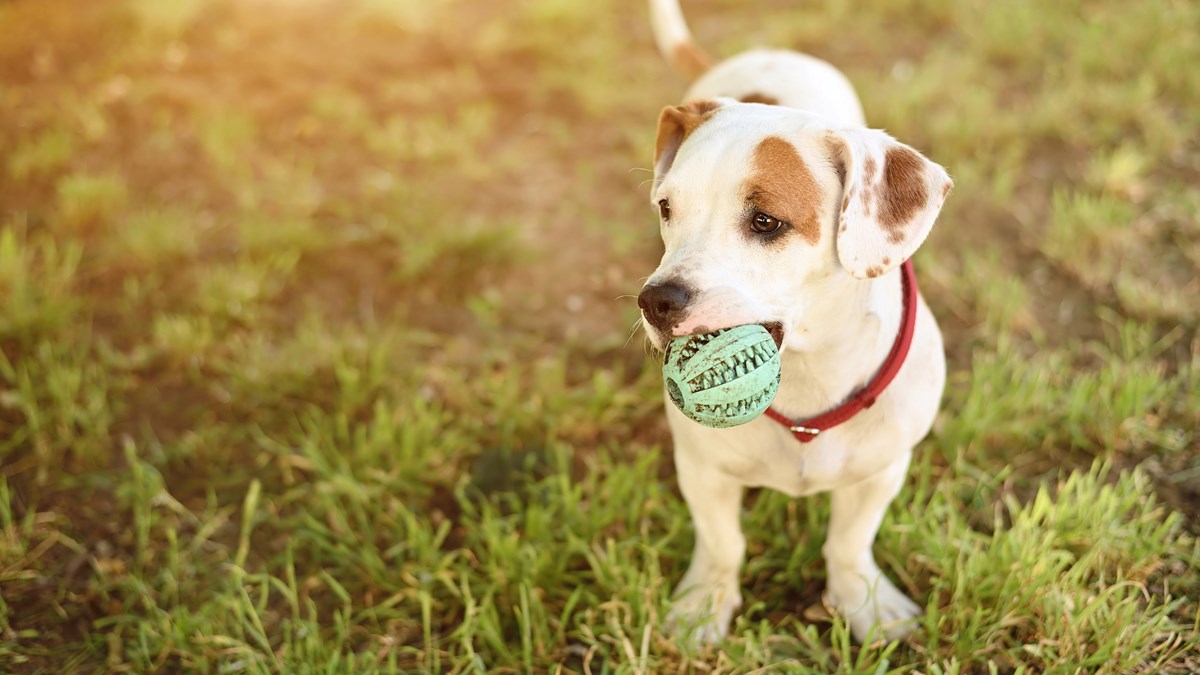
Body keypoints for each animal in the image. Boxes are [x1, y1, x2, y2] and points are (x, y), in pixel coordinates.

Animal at [643, 0, 950, 638]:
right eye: (666, 208)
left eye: (766, 222)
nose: (655, 300)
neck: (809, 369)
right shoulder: (702, 470)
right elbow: (723, 543)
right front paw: (705, 603)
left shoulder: (881, 471)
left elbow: (849, 542)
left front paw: (863, 602)